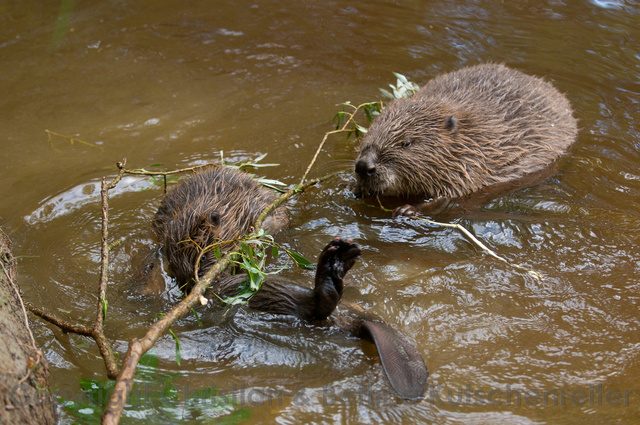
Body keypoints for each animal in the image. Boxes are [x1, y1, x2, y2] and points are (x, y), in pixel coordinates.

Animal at [352, 62, 576, 215]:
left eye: (407, 143)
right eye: (370, 131)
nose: (364, 166)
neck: (472, 136)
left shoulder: (473, 164)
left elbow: (454, 194)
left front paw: (408, 209)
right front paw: (353, 187)